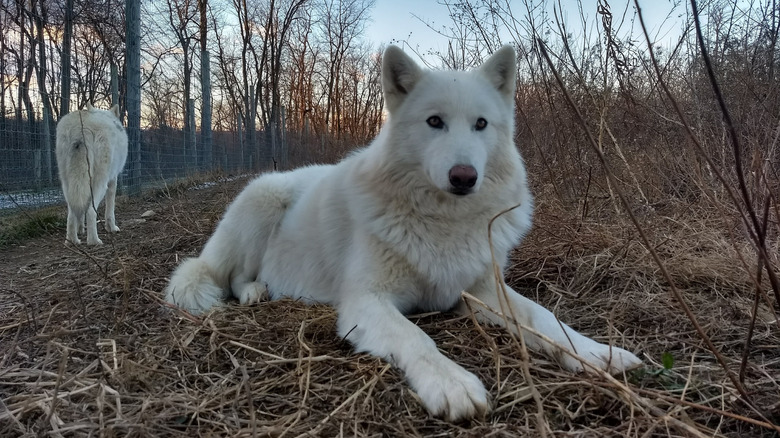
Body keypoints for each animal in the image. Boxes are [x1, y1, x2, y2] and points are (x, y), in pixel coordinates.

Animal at [55, 104, 128, 245]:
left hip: (66, 183)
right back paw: (94, 241)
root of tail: (81, 128)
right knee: (91, 211)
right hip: (100, 182)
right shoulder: (112, 180)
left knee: (71, 213)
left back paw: (72, 240)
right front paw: (112, 228)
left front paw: (80, 229)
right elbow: (110, 209)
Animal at [165, 46, 642, 421]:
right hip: (262, 202)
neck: (444, 221)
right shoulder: (367, 301)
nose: (464, 177)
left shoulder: (483, 291)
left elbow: (546, 318)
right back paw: (254, 291)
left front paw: (597, 353)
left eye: (481, 124)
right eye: (434, 122)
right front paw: (452, 383)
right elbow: (418, 338)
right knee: (229, 275)